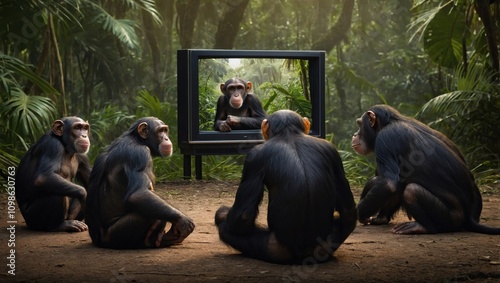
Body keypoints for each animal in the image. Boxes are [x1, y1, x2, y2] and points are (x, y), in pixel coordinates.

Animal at [86, 116, 195, 250]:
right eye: (160, 131)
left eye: (165, 130)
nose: (166, 138)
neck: (139, 140)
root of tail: (97, 241)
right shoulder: (139, 155)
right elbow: (139, 194)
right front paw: (182, 221)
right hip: (114, 236)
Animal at [214, 110, 356, 266]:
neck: (289, 133)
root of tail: (302, 255)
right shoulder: (332, 151)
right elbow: (348, 211)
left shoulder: (253, 158)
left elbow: (242, 216)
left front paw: (223, 213)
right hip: (325, 245)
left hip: (274, 248)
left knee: (227, 230)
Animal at [352, 104, 500, 235]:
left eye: (359, 124)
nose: (354, 134)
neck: (389, 123)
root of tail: (467, 220)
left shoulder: (386, 139)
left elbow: (388, 183)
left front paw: (359, 213)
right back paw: (381, 218)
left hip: (450, 219)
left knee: (411, 190)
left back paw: (422, 227)